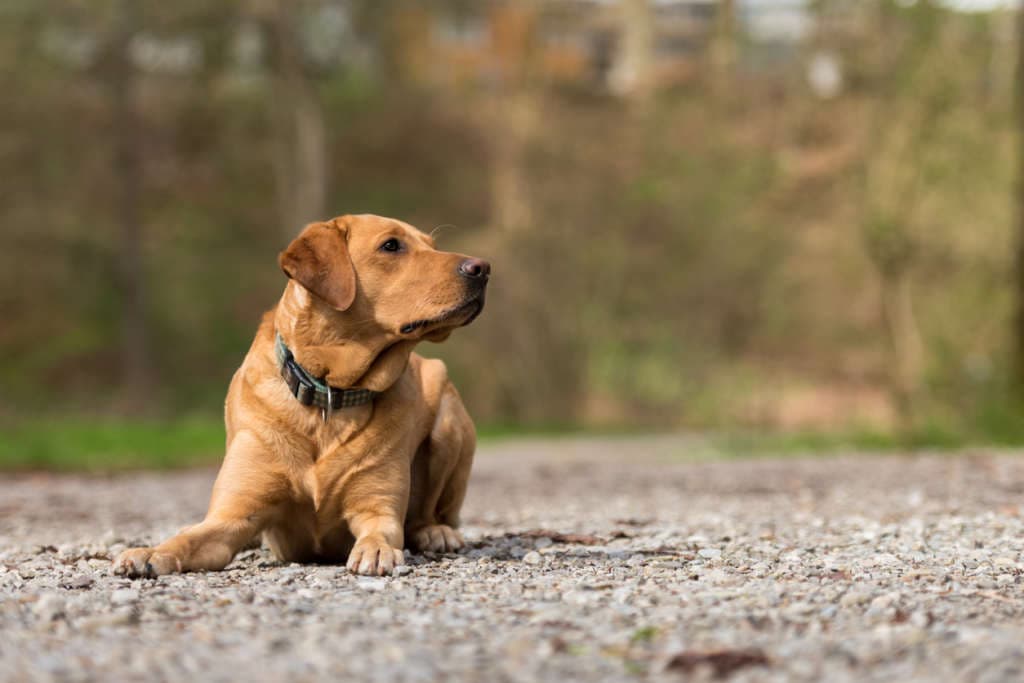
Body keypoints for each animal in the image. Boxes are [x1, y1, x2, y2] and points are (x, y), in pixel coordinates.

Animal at [112, 214, 487, 577]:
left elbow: (381, 531)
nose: (482, 268)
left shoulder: (376, 506)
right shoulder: (233, 516)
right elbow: (190, 538)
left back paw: (435, 532)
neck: (330, 392)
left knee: (433, 513)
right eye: (391, 245)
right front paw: (151, 552)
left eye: (432, 246)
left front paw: (377, 550)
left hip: (448, 417)